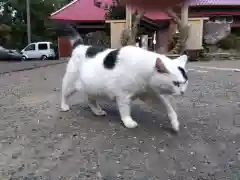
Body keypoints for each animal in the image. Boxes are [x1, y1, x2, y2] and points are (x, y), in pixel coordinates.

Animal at [59, 25, 188, 132]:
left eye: (185, 82)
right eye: (176, 83)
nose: (183, 92)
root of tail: (81, 46)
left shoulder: (150, 95)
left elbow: (169, 109)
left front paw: (175, 123)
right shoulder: (123, 96)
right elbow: (125, 110)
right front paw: (128, 122)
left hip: (92, 88)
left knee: (91, 100)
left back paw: (97, 111)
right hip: (70, 85)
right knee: (64, 95)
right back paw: (64, 106)